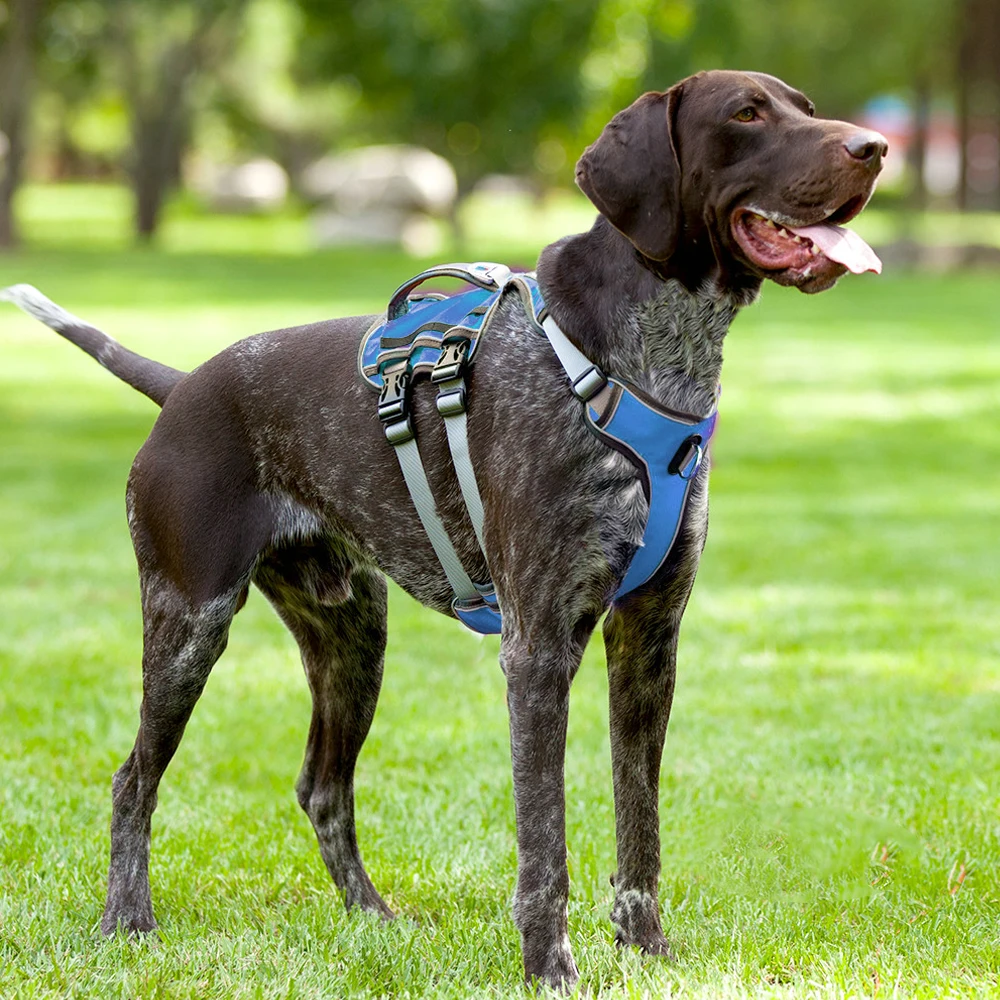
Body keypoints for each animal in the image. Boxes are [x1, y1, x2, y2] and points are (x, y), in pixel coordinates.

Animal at [3, 70, 888, 992]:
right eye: (747, 114)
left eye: (804, 106)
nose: (874, 148)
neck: (645, 362)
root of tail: (180, 386)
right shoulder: (539, 650)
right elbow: (546, 844)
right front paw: (550, 970)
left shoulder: (650, 640)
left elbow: (638, 822)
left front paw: (646, 951)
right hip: (189, 624)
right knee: (132, 778)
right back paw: (127, 922)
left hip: (353, 637)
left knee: (322, 788)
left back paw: (372, 917)